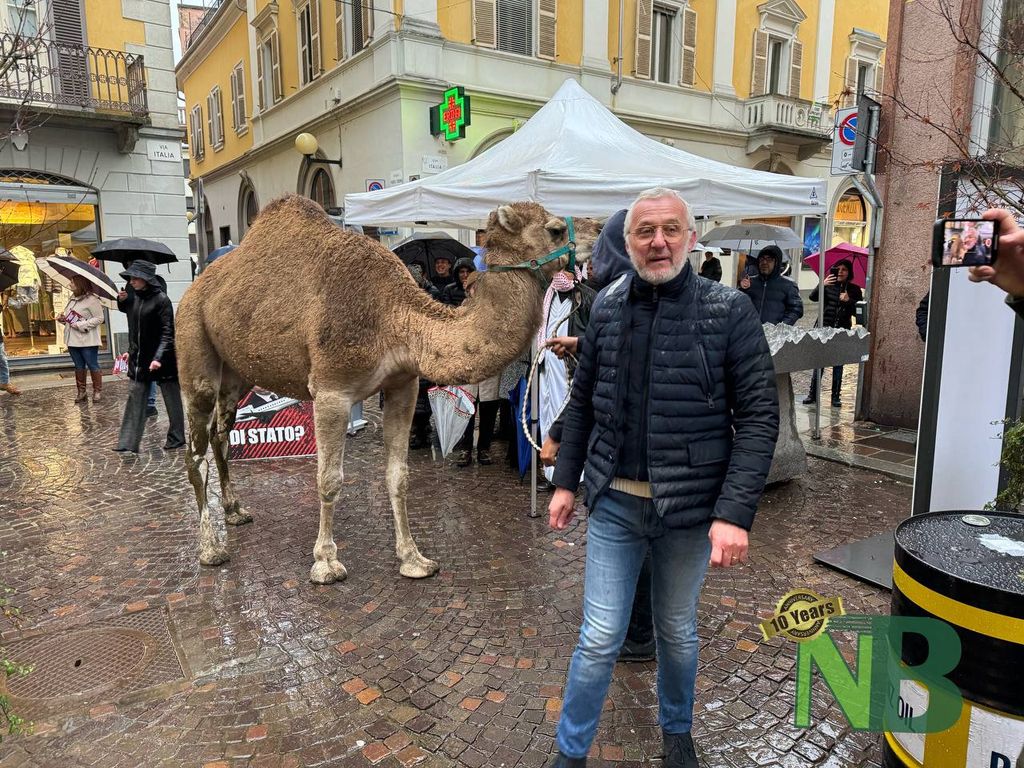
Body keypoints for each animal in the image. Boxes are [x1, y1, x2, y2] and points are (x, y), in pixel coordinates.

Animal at [176, 194, 602, 584]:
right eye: (554, 229)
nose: (599, 228)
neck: (394, 318)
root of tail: (196, 288)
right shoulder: (331, 391)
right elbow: (329, 479)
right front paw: (325, 563)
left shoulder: (404, 385)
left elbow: (399, 476)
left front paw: (413, 559)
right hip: (193, 347)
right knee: (195, 453)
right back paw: (211, 548)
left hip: (237, 370)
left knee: (221, 435)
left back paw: (235, 511)